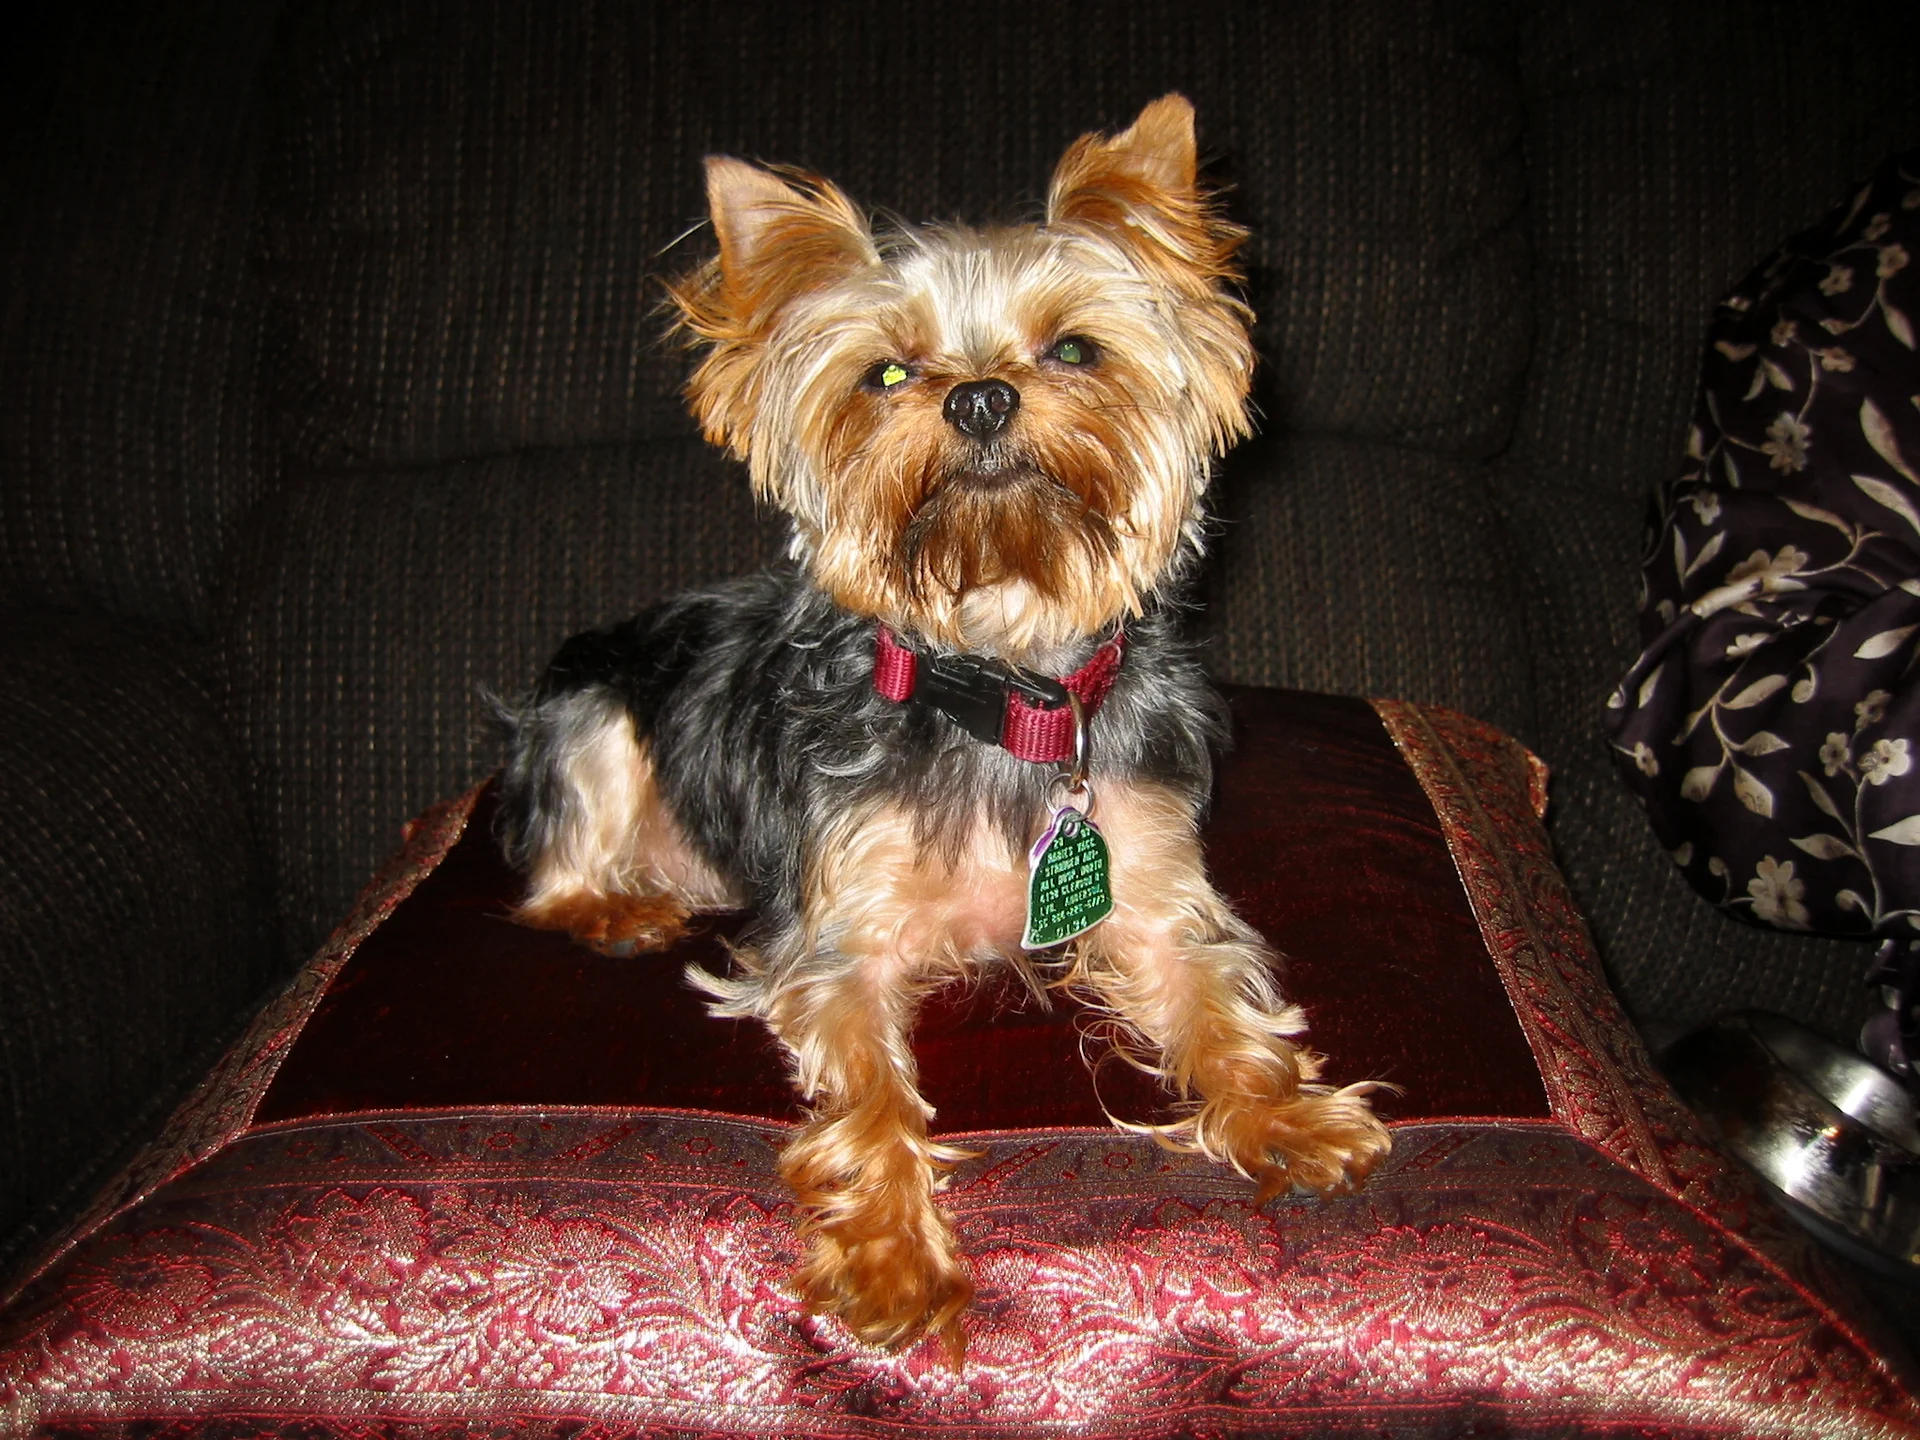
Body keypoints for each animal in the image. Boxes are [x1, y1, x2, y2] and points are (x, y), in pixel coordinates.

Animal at [496, 94, 1390, 1359]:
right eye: (887, 371)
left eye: (1073, 349)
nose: (977, 396)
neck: (1002, 694)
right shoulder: (841, 943)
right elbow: (872, 1096)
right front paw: (891, 1261)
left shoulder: (1154, 891)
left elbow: (1220, 1006)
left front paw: (1288, 1116)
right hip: (589, 716)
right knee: (556, 871)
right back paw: (620, 907)